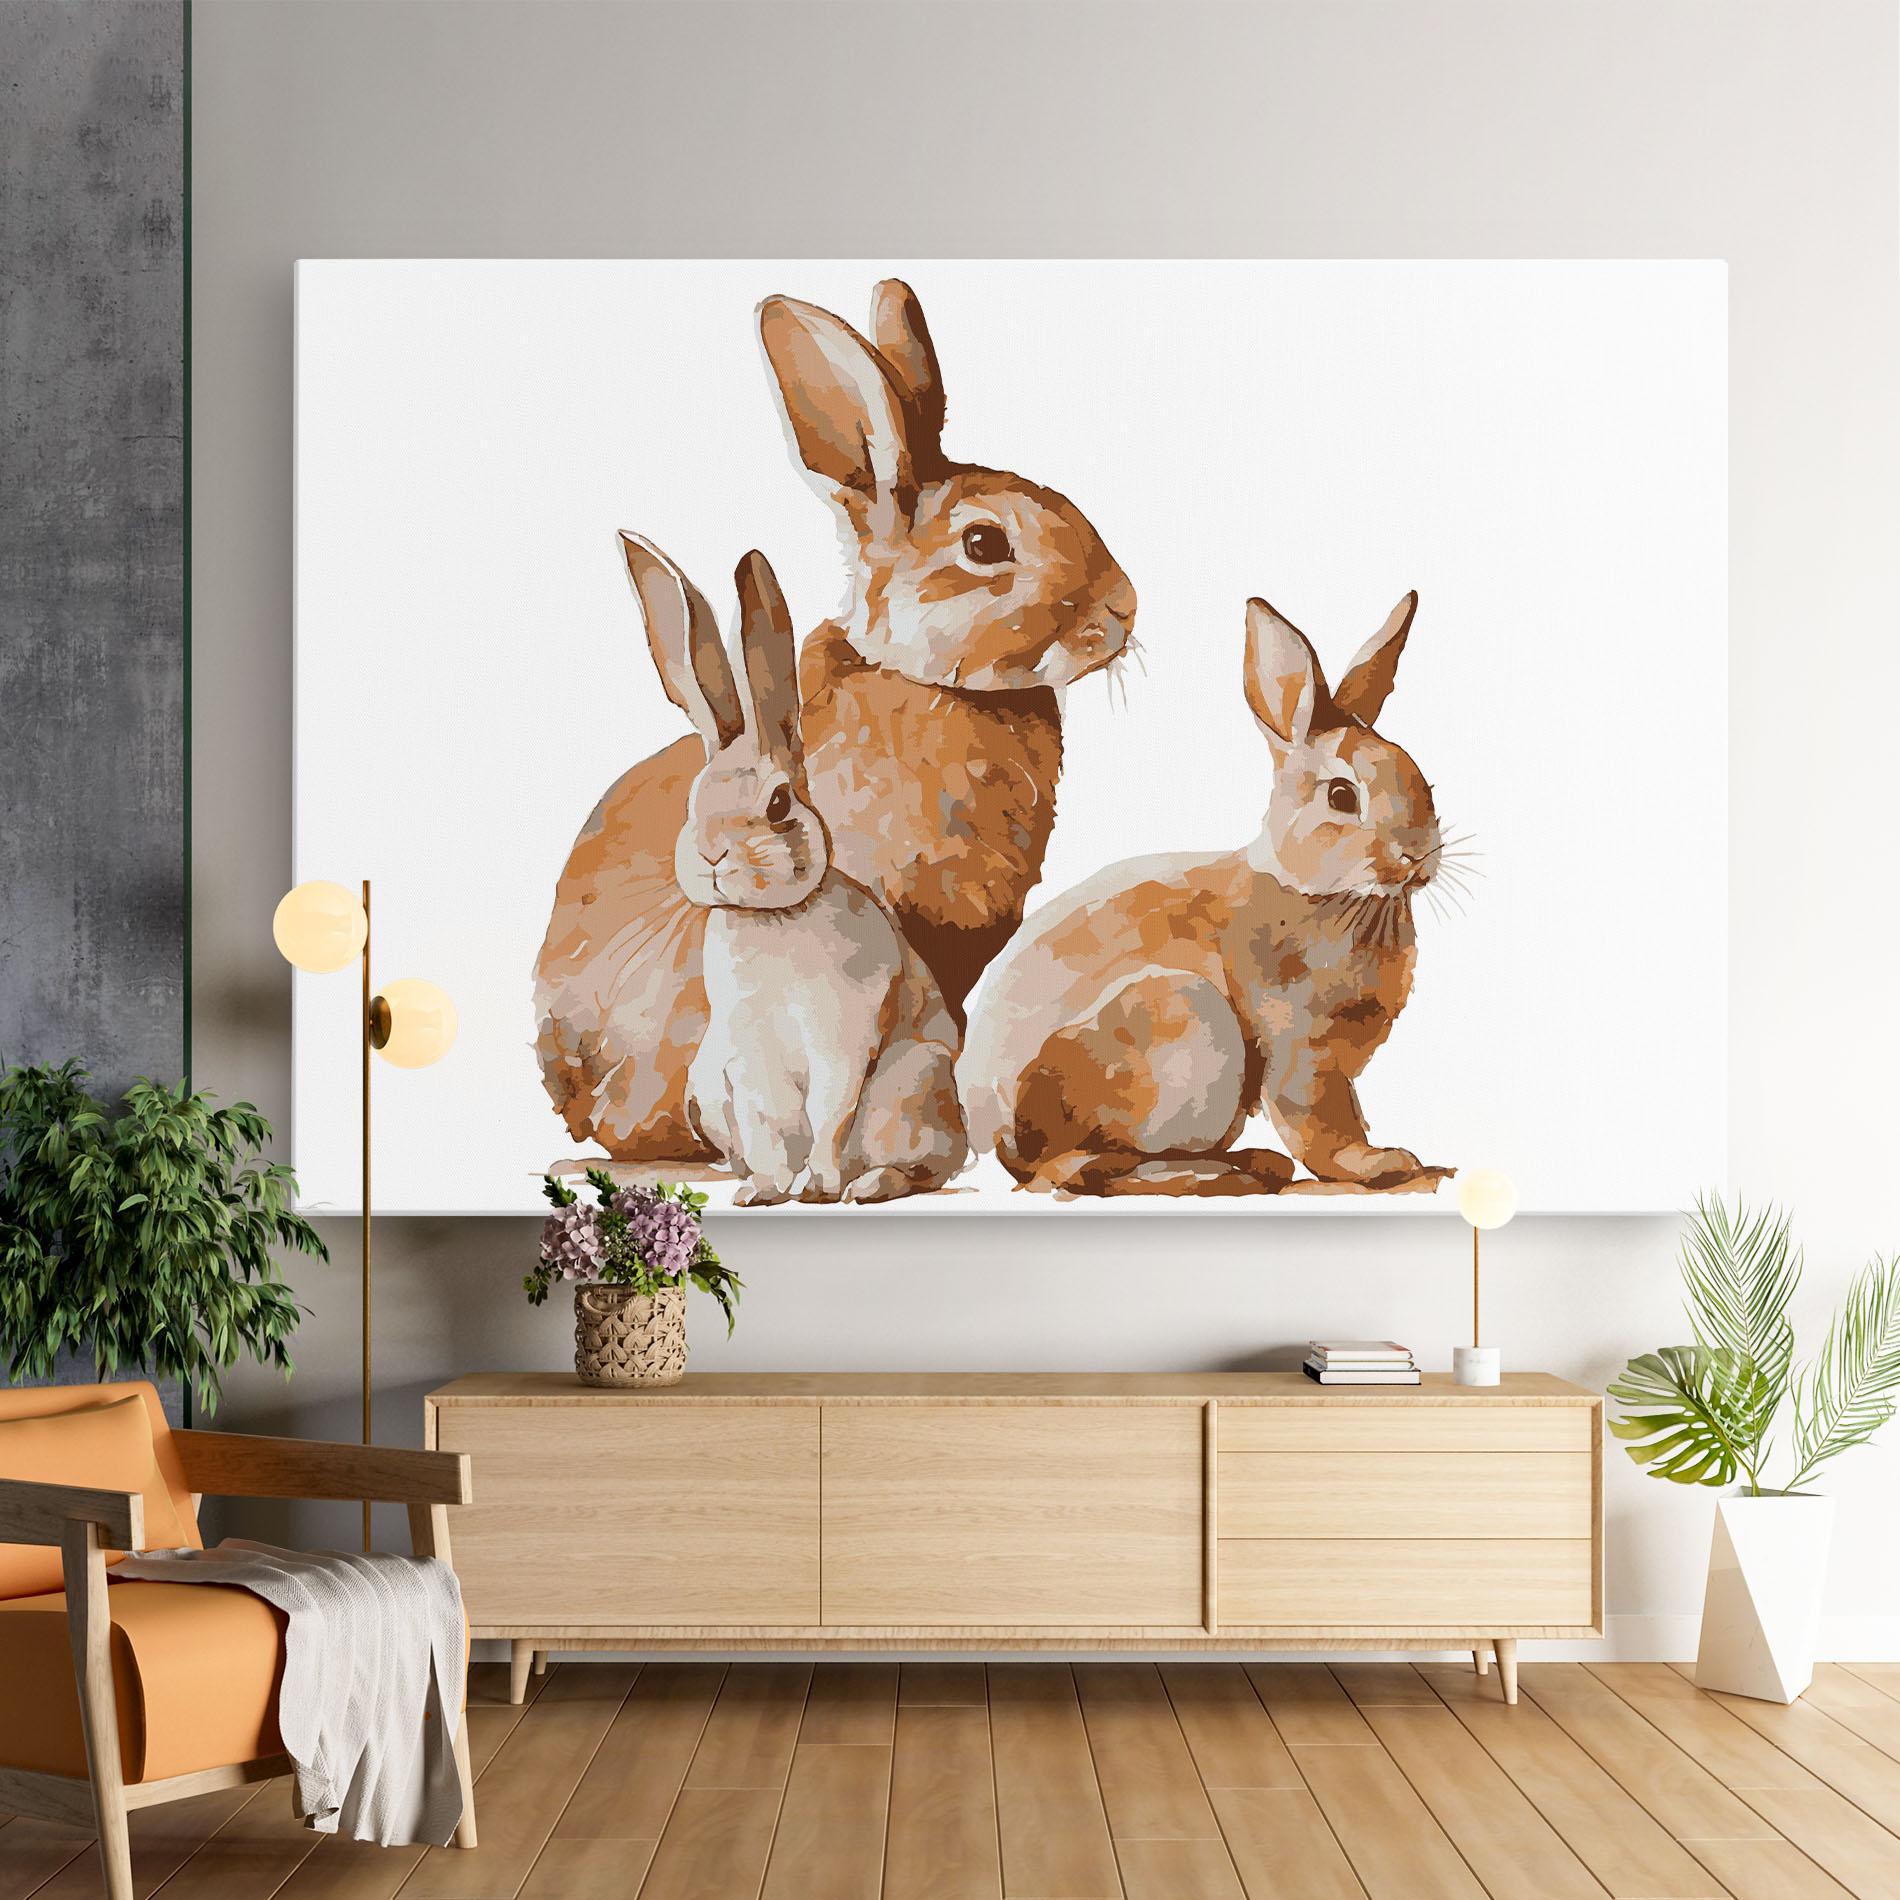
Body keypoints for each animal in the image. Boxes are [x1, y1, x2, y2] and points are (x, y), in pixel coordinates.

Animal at [636, 536, 968, 1205]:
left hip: (910, 1088)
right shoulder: (746, 1058)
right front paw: (764, 1191)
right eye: (693, 801)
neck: (775, 918)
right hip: (707, 1087)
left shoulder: (841, 1043)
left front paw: (817, 1185)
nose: (712, 856)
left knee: (924, 1168)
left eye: (778, 804)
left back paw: (864, 1186)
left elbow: (830, 1114)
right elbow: (765, 1123)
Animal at [958, 589, 1453, 1198]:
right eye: (1341, 796)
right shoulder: (1300, 1050)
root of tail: (991, 1133)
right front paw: (1380, 1163)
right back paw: (1214, 1172)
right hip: (1182, 1023)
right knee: (1074, 1168)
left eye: (1425, 782)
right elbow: (1322, 1128)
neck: (1331, 895)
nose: (1418, 856)